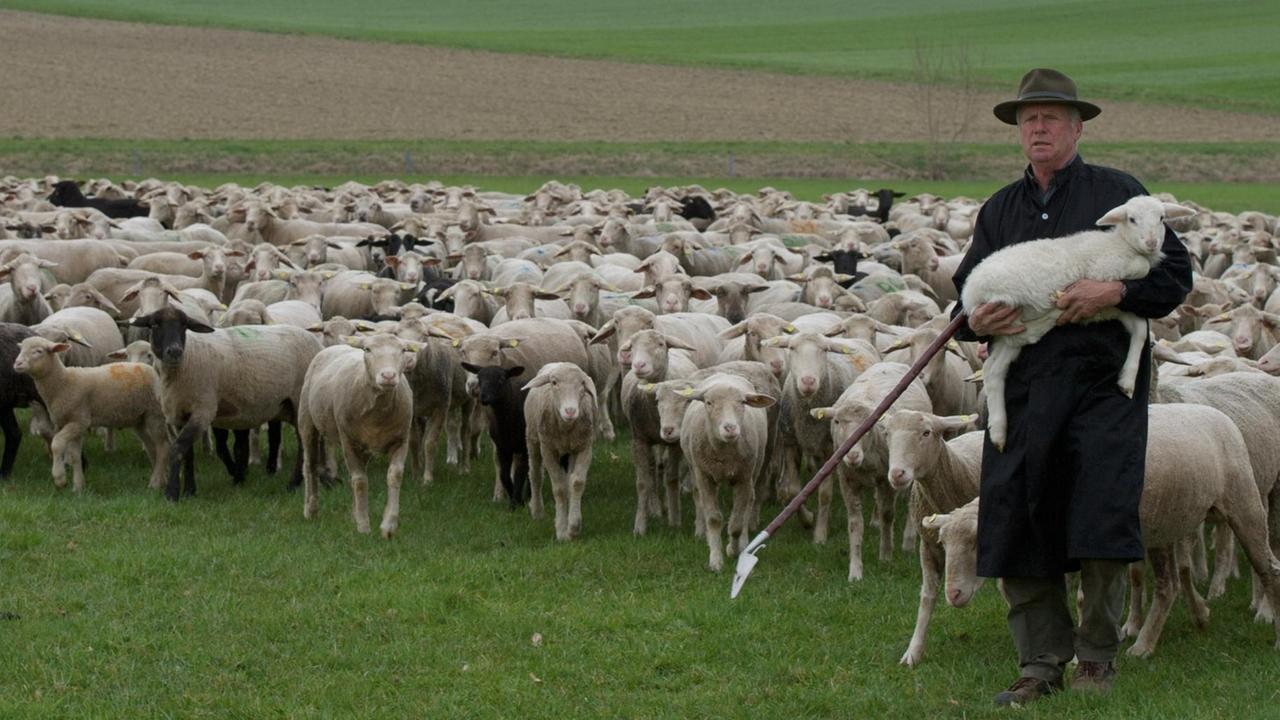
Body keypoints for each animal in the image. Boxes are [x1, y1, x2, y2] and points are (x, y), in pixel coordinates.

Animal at [14, 335, 170, 489]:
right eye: (21, 349)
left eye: (38, 351)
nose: (17, 363)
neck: (63, 382)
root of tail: (149, 369)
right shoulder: (71, 423)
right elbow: (75, 456)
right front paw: (78, 487)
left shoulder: (78, 421)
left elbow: (56, 444)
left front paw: (60, 478)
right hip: (139, 419)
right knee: (151, 447)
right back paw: (160, 478)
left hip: (155, 413)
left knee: (162, 447)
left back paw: (155, 483)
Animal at [300, 333, 417, 535]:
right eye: (367, 350)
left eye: (403, 350)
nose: (388, 376)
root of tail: (333, 347)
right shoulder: (348, 441)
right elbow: (361, 481)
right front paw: (363, 526)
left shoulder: (401, 440)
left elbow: (394, 476)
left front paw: (388, 525)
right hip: (307, 421)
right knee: (310, 465)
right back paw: (311, 509)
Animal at [522, 361, 596, 535]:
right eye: (554, 383)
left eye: (582, 384)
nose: (570, 411)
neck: (566, 428)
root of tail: (557, 363)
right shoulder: (548, 449)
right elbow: (559, 488)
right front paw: (562, 531)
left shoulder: (584, 447)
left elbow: (576, 483)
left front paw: (573, 526)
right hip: (532, 438)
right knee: (535, 475)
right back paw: (537, 511)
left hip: (570, 451)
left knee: (568, 480)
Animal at [686, 371, 773, 568]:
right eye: (709, 402)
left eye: (742, 402)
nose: (730, 428)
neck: (724, 455)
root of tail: (725, 374)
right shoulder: (704, 476)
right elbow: (713, 519)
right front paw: (715, 560)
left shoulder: (743, 477)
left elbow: (736, 525)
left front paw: (733, 551)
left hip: (755, 468)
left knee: (750, 502)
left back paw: (744, 544)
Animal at [962, 196, 1198, 448]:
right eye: (1132, 219)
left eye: (1162, 218)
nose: (1152, 243)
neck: (1121, 244)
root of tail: (969, 291)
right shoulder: (1105, 271)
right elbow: (1141, 268)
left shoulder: (1113, 305)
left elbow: (1141, 331)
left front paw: (1127, 381)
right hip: (1004, 303)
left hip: (1012, 337)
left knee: (993, 370)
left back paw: (998, 431)